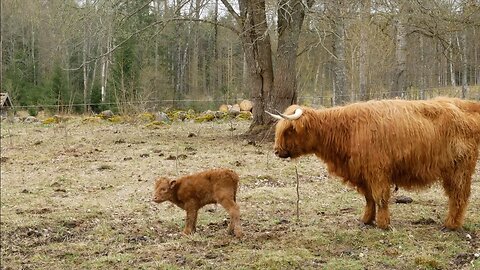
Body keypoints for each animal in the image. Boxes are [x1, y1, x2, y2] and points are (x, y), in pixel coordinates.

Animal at [268, 97, 478, 230]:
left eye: (289, 130)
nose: (277, 151)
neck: (346, 131)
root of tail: (467, 105)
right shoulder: (362, 174)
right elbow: (369, 198)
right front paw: (366, 220)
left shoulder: (378, 171)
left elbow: (380, 197)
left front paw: (384, 224)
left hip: (459, 169)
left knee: (459, 196)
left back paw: (451, 225)